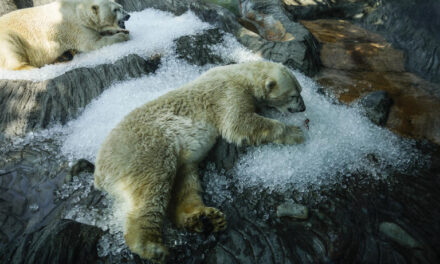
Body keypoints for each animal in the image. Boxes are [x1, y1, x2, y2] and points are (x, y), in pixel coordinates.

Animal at [0, 0, 131, 70]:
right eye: (115, 9)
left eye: (121, 7)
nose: (128, 15)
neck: (78, 10)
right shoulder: (75, 27)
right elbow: (94, 43)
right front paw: (122, 36)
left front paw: (122, 31)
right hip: (9, 35)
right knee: (12, 48)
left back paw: (65, 55)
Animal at [93, 61, 306, 262]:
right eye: (294, 95)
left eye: (300, 90)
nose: (303, 108)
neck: (240, 74)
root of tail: (100, 174)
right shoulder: (228, 93)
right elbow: (239, 124)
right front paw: (294, 132)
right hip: (145, 149)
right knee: (153, 186)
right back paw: (151, 246)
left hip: (175, 159)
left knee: (186, 182)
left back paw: (205, 218)